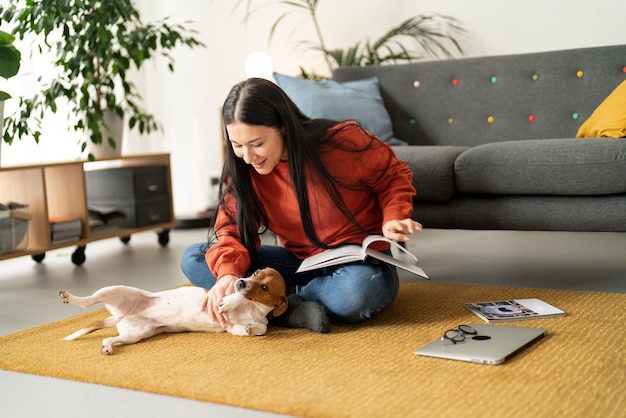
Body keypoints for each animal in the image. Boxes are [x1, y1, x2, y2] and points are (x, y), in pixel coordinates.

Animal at [58, 268, 288, 352]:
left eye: (265, 287)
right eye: (255, 272)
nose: (241, 281)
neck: (252, 307)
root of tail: (119, 316)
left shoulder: (233, 328)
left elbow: (260, 328)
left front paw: (251, 329)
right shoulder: (223, 292)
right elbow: (232, 296)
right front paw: (230, 302)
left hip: (135, 334)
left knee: (111, 338)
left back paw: (107, 346)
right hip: (114, 290)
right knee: (88, 302)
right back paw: (68, 297)